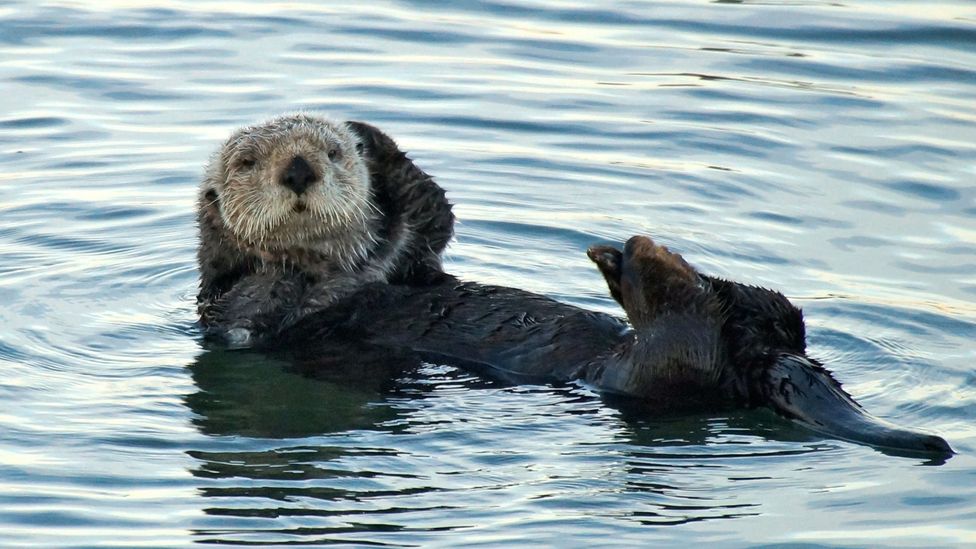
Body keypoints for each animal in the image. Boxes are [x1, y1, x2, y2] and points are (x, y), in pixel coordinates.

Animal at [199, 113, 458, 344]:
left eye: (333, 153)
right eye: (247, 162)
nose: (298, 171)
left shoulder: (415, 256)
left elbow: (433, 217)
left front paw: (365, 135)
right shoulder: (236, 310)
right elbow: (246, 311)